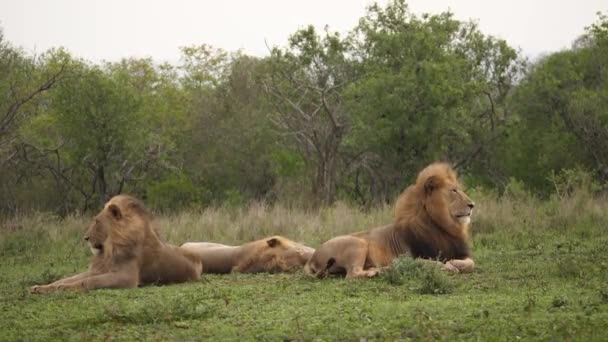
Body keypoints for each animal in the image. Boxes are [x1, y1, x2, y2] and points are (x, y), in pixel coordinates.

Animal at [30, 195, 202, 294]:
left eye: (97, 222)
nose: (85, 238)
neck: (110, 248)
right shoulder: (99, 269)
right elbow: (66, 278)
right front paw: (40, 287)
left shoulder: (127, 278)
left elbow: (90, 281)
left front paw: (64, 289)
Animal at [304, 162, 476, 278]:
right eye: (453, 191)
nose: (472, 205)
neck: (442, 226)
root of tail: (313, 257)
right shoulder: (410, 257)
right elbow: (432, 263)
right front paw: (449, 266)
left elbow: (471, 263)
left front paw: (455, 263)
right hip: (358, 242)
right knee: (353, 274)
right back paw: (378, 271)